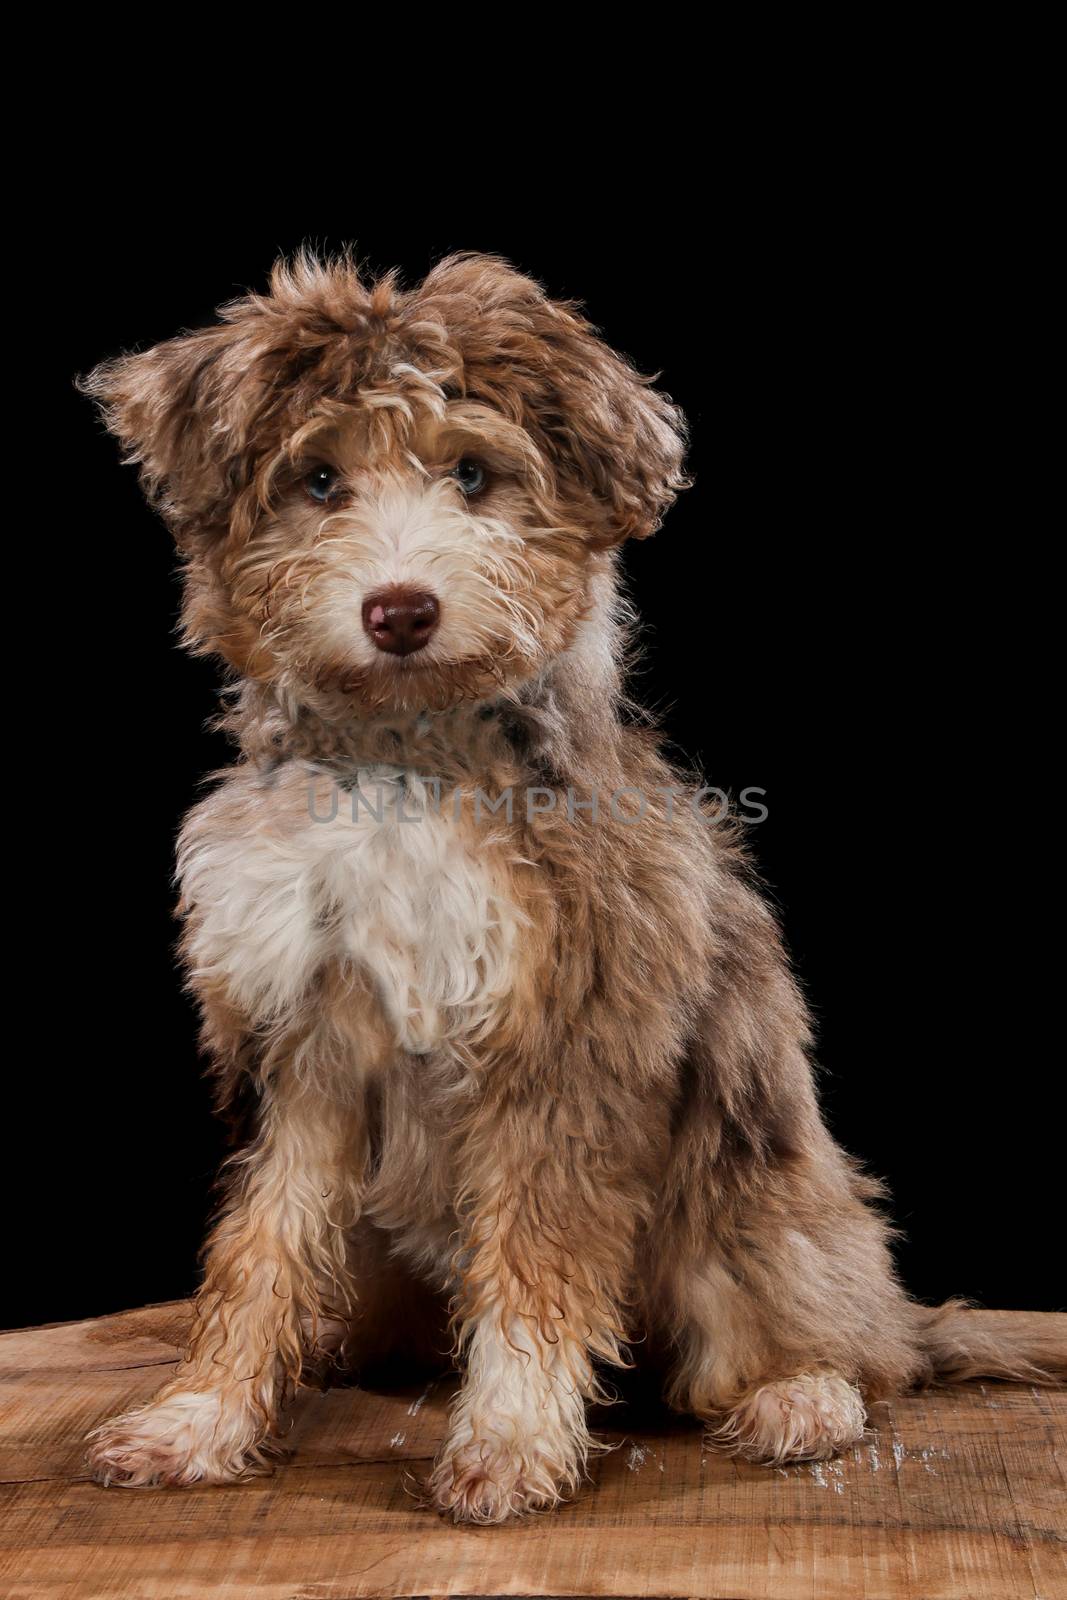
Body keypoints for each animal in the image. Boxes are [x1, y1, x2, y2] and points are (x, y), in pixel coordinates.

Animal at [77, 252, 1067, 1523]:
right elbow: (261, 1243)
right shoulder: (303, 1035)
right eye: (317, 479)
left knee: (835, 1340)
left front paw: (507, 1438)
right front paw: (199, 1416)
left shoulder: (564, 1041)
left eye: (471, 473)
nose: (399, 608)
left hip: (747, 1199)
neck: (405, 756)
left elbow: (537, 1260)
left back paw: (803, 1393)